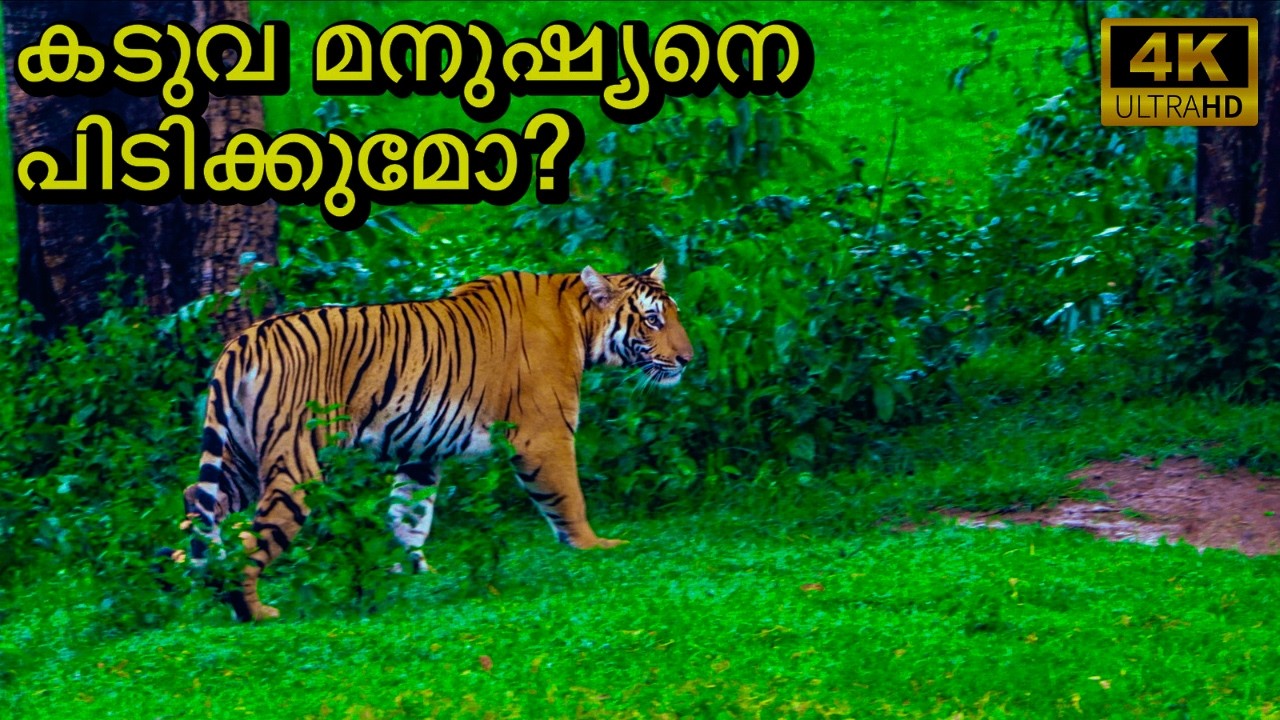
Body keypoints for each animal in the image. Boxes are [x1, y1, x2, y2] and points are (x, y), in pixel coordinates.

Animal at [181, 262, 693, 621]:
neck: (579, 321)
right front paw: (594, 546)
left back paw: (194, 573)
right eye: (652, 320)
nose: (688, 358)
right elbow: (569, 498)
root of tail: (244, 339)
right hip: (297, 462)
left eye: (673, 316)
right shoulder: (544, 434)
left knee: (196, 499)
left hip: (242, 455)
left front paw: (415, 573)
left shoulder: (420, 451)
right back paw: (252, 609)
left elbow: (408, 514)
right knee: (253, 538)